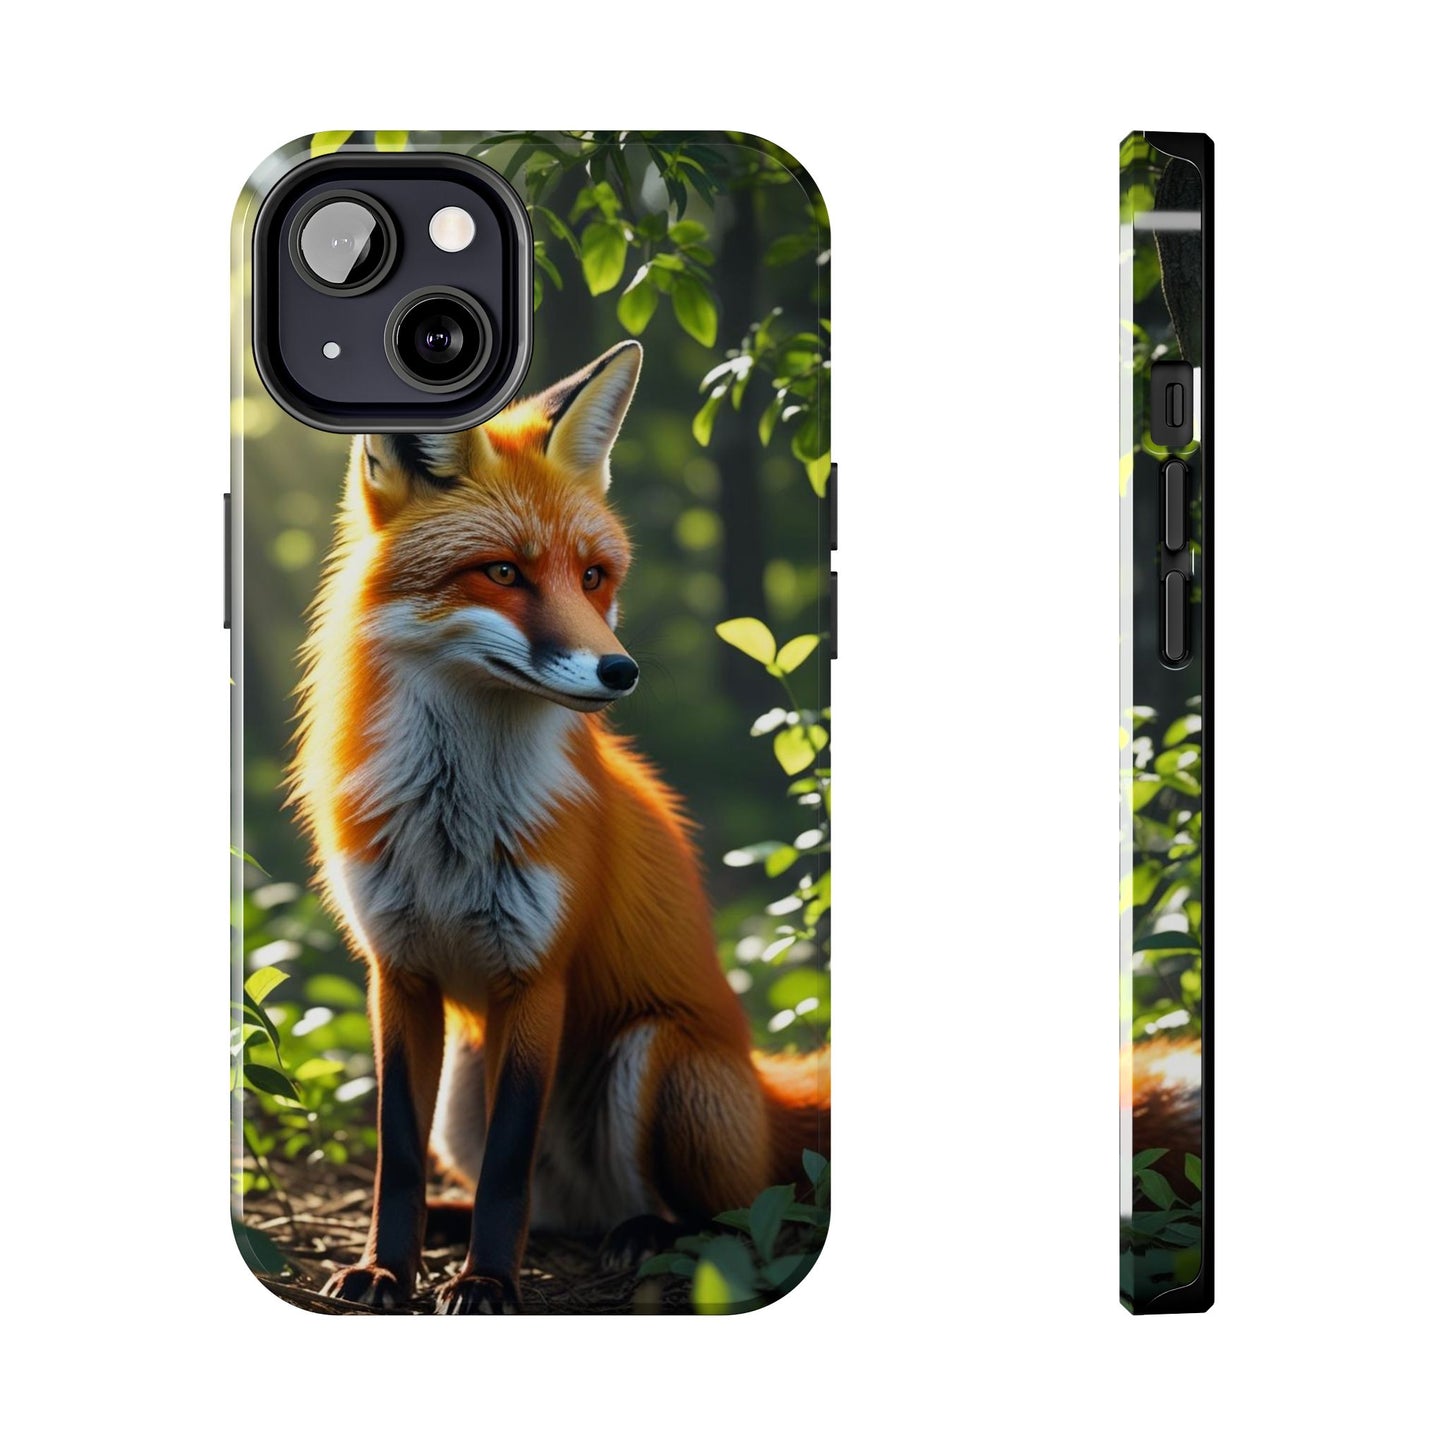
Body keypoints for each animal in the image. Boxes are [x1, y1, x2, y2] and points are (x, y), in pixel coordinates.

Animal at [290, 340, 829, 1313]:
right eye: (502, 572)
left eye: (592, 577)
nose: (621, 671)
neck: (452, 823)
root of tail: (767, 1090)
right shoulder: (398, 972)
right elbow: (397, 1152)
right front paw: (388, 1266)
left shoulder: (536, 975)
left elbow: (509, 1162)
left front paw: (488, 1283)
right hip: (464, 1085)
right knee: (546, 1208)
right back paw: (466, 1220)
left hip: (657, 1060)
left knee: (718, 1216)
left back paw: (642, 1233)